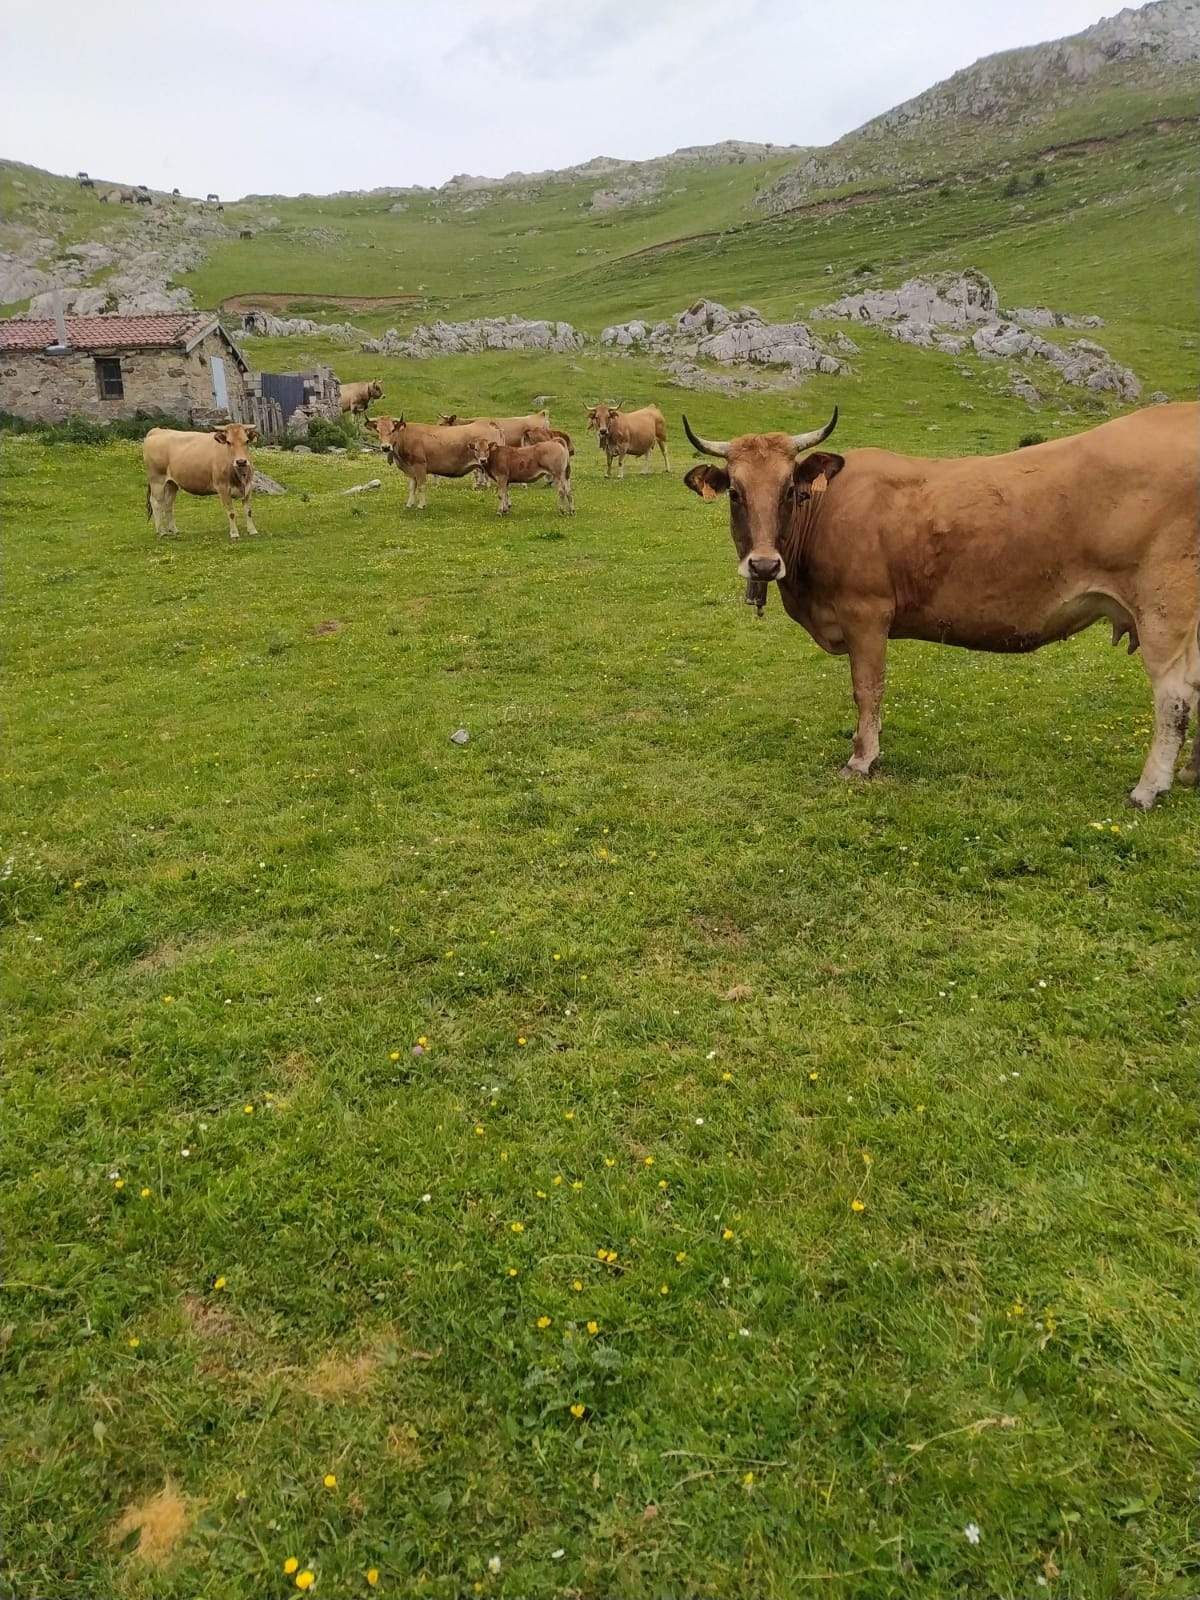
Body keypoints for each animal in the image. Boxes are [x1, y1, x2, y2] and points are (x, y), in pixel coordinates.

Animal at [372, 415, 503, 509]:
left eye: (393, 429)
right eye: (378, 430)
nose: (385, 447)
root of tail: (490, 424)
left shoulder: (420, 465)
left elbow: (421, 486)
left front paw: (421, 505)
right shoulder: (411, 469)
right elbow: (412, 487)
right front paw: (409, 504)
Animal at [681, 403, 1200, 810]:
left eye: (790, 488)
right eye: (735, 492)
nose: (764, 564)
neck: (824, 514)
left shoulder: (866, 613)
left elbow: (867, 689)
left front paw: (862, 759)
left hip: (1164, 610)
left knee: (1173, 696)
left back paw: (1148, 788)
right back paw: (1190, 773)